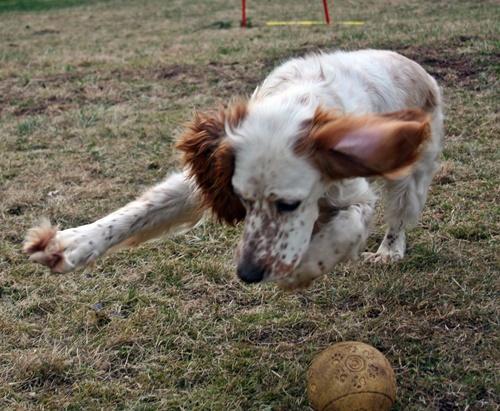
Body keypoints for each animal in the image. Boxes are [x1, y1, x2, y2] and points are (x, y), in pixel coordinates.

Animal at [25, 50, 444, 290]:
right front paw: (72, 242)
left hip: (411, 177)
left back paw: (390, 251)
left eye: (289, 205)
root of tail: (414, 64)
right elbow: (139, 212)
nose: (248, 274)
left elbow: (346, 227)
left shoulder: (352, 191)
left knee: (399, 216)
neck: (297, 100)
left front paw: (306, 268)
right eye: (242, 202)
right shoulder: (209, 179)